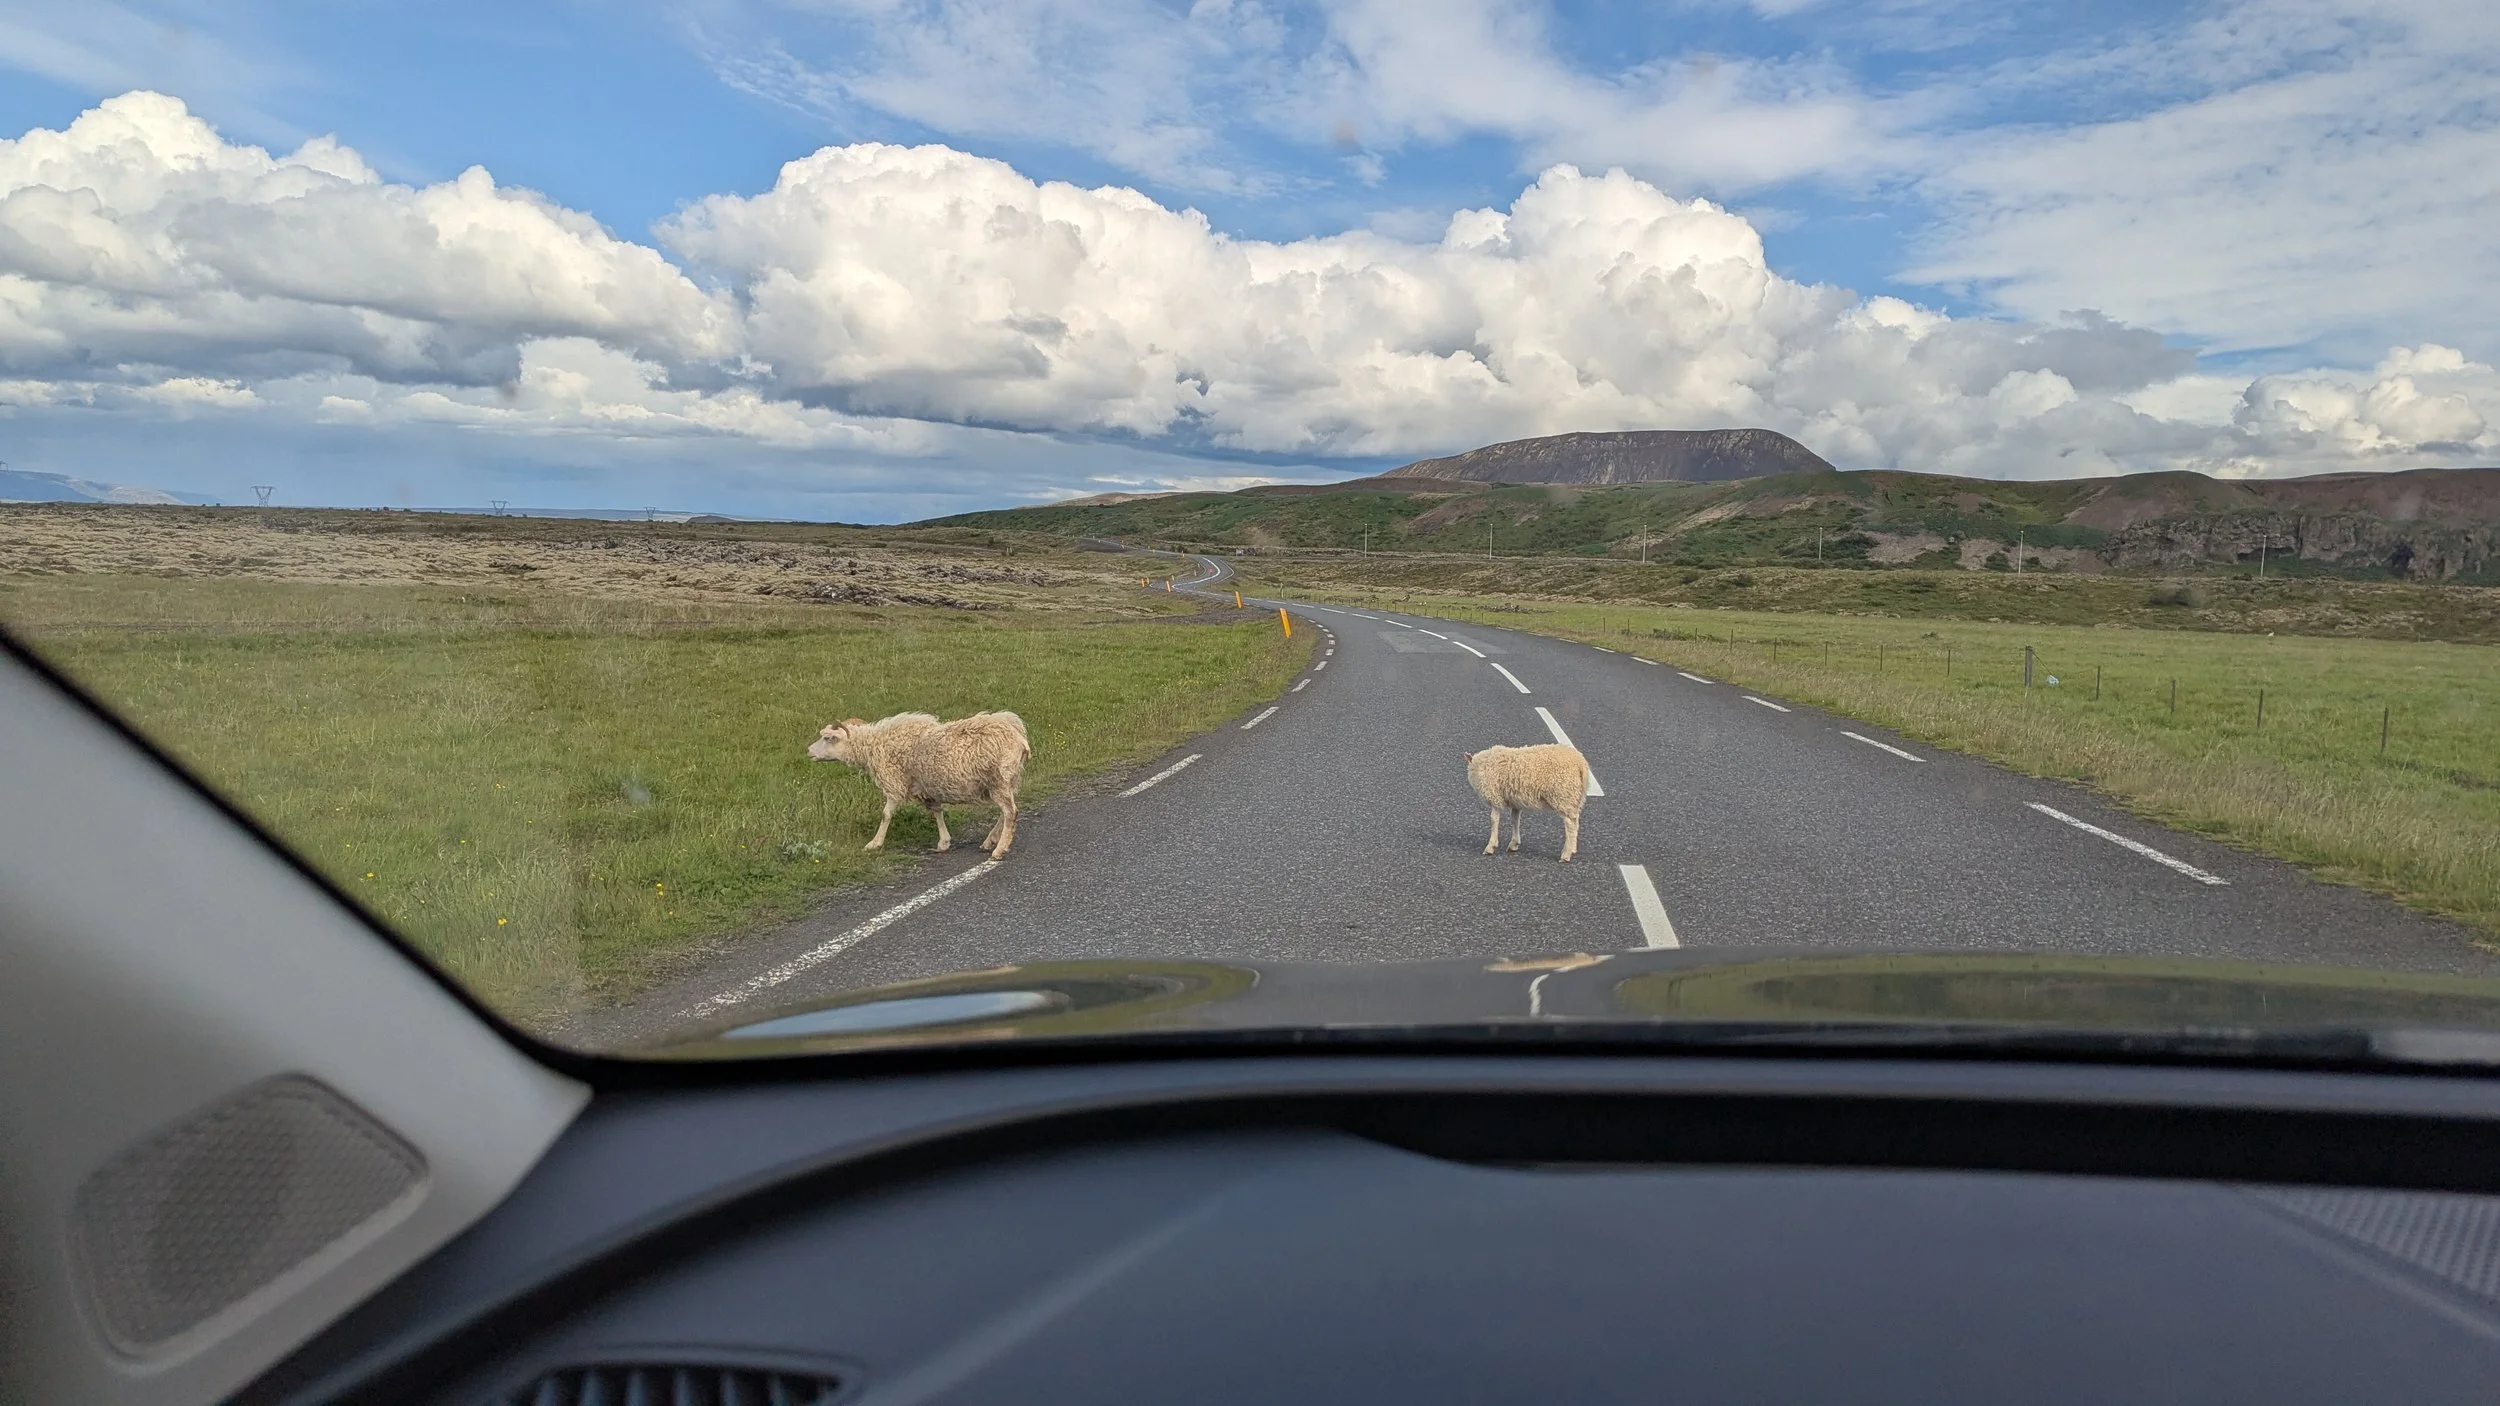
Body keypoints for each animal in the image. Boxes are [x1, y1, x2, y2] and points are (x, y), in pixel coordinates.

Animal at [807, 710, 1032, 858]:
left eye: (827, 738)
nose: (808, 751)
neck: (874, 745)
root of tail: (1020, 739)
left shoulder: (895, 783)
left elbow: (886, 814)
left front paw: (874, 843)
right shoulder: (925, 786)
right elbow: (937, 812)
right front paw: (943, 842)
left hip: (998, 779)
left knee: (1010, 812)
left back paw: (998, 849)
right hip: (1005, 780)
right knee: (1008, 811)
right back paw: (990, 841)